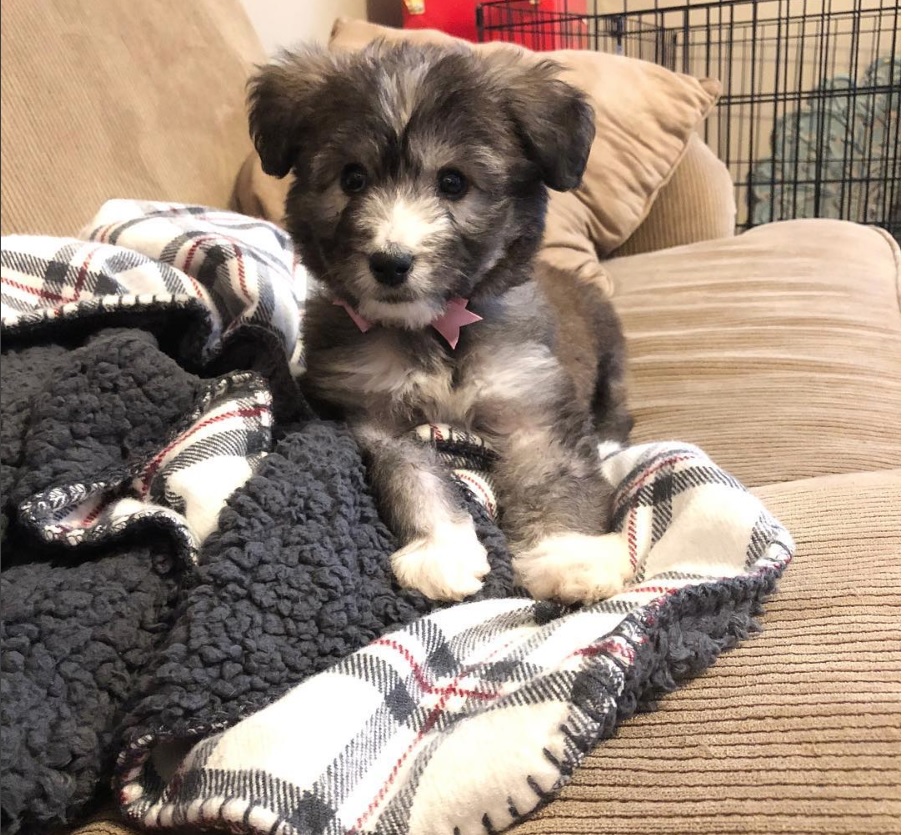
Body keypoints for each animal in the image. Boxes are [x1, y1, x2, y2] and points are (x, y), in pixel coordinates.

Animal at [244, 39, 632, 604]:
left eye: (453, 182)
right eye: (352, 178)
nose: (390, 263)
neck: (436, 330)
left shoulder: (530, 405)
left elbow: (553, 475)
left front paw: (568, 553)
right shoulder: (376, 416)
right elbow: (412, 476)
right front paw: (442, 550)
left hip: (612, 355)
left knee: (615, 412)